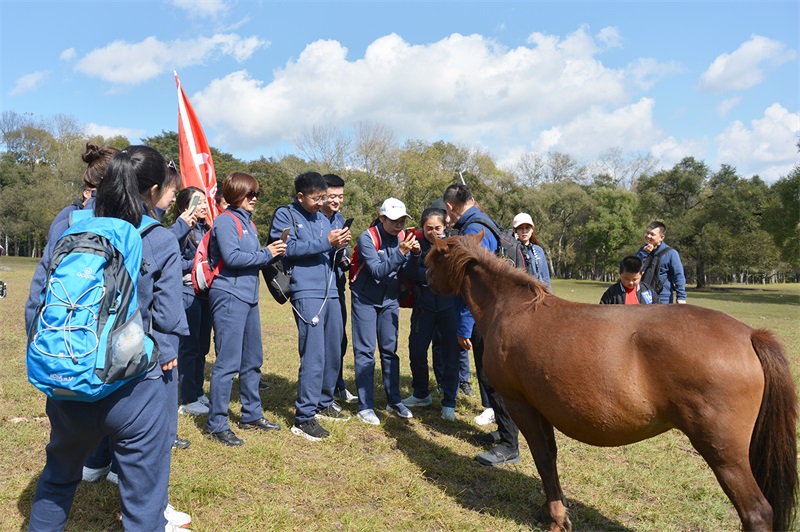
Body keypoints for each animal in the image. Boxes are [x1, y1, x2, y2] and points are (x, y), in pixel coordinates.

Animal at [424, 234, 792, 532]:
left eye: (430, 259)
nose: (425, 282)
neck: (513, 308)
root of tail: (750, 335)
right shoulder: (542, 407)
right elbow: (551, 459)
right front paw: (552, 511)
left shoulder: (520, 404)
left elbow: (542, 458)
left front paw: (556, 518)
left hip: (724, 453)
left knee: (757, 512)